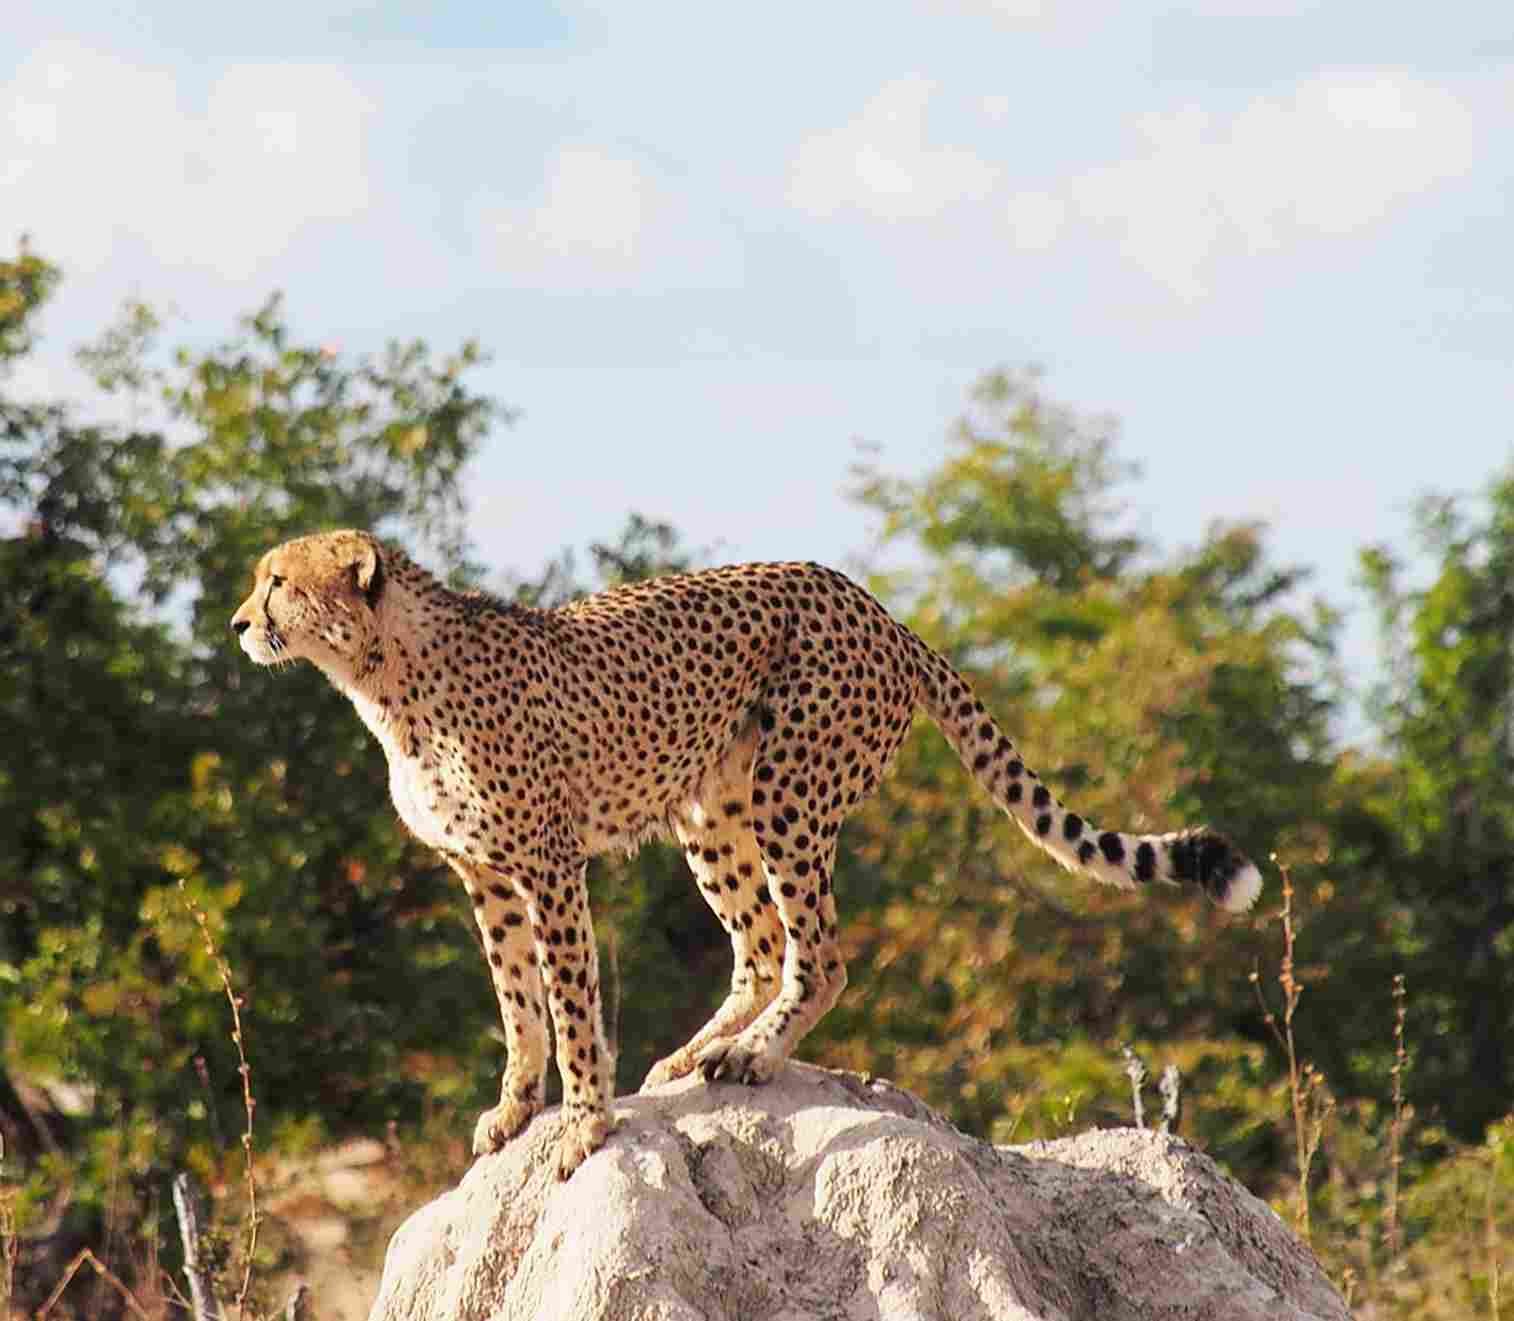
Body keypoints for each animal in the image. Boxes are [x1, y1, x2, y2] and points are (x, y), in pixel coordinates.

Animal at [230, 529, 1261, 1178]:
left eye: (279, 580)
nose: (240, 622)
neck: (384, 676)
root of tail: (874, 603)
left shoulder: (549, 864)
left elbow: (571, 1008)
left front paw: (582, 1126)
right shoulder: (482, 872)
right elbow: (518, 1001)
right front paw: (516, 1109)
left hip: (790, 792)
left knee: (819, 954)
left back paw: (756, 1056)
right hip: (712, 812)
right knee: (762, 945)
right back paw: (700, 1051)